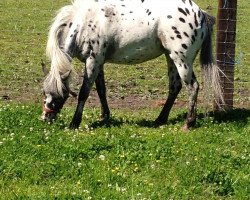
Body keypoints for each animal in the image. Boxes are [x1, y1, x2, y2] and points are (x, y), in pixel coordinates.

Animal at [42, 0, 224, 130]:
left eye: (59, 95)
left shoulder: (93, 61)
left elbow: (84, 93)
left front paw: (75, 123)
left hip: (182, 61)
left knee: (192, 87)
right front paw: (104, 116)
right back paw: (160, 120)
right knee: (175, 87)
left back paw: (188, 123)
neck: (84, 23)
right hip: (171, 58)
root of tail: (199, 13)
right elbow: (101, 90)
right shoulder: (98, 63)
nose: (45, 118)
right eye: (44, 93)